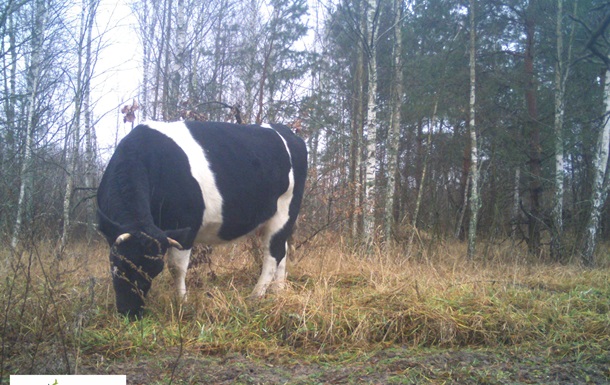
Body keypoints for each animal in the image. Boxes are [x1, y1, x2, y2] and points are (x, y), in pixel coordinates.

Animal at [99, 121, 306, 318]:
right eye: (117, 264)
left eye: (155, 271)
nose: (130, 312)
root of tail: (287, 132)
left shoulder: (186, 225)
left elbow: (176, 267)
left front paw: (182, 302)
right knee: (282, 251)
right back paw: (278, 291)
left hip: (285, 211)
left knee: (273, 254)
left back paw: (256, 296)